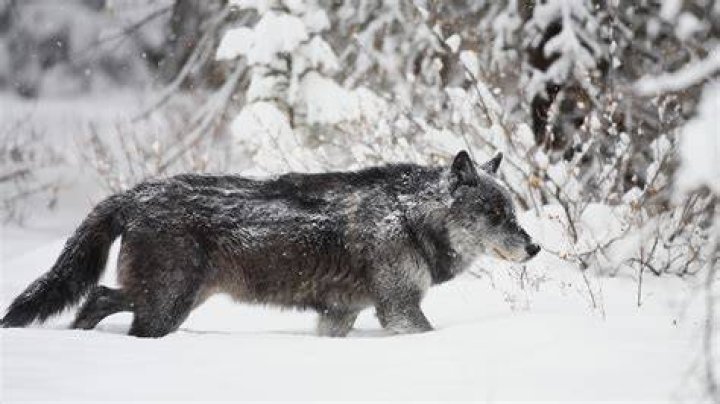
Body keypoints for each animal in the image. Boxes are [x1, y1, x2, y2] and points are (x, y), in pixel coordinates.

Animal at [1, 151, 540, 338]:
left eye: (514, 213)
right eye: (495, 215)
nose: (533, 248)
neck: (409, 217)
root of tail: (136, 192)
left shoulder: (340, 314)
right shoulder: (399, 310)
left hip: (172, 299)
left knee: (97, 297)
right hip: (167, 304)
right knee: (105, 301)